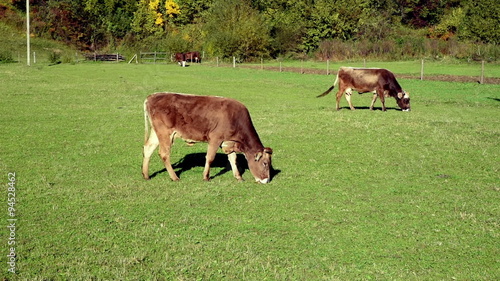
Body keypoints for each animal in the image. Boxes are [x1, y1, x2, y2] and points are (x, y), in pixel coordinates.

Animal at [141, 93, 274, 183]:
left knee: (148, 149)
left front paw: (238, 176)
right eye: (265, 163)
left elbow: (233, 159)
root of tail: (152, 96)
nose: (267, 180)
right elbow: (210, 158)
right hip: (165, 133)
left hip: (156, 133)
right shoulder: (215, 138)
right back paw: (174, 177)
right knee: (164, 154)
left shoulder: (228, 142)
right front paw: (206, 176)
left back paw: (146, 175)